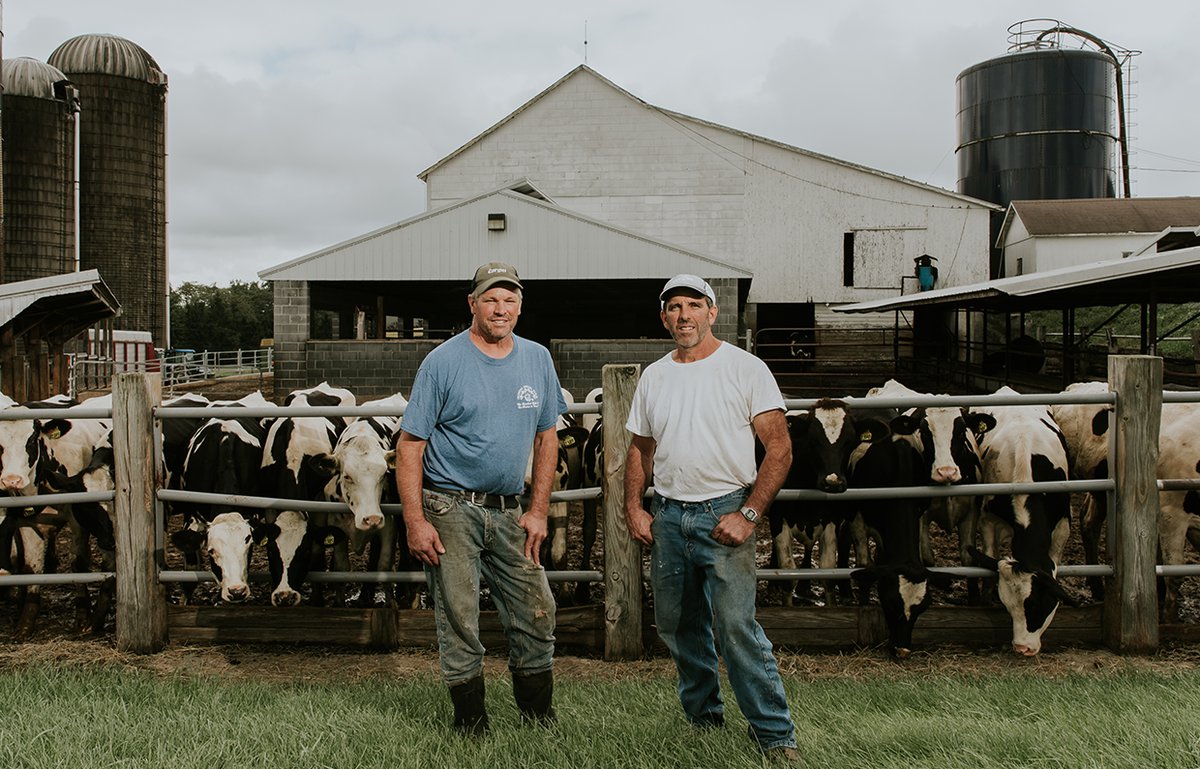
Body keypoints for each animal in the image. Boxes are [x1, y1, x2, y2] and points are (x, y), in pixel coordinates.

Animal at [964, 383, 1080, 652]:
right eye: (1009, 608)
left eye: (1036, 604)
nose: (1022, 648)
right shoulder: (989, 518)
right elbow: (990, 552)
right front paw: (987, 598)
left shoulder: (1063, 522)